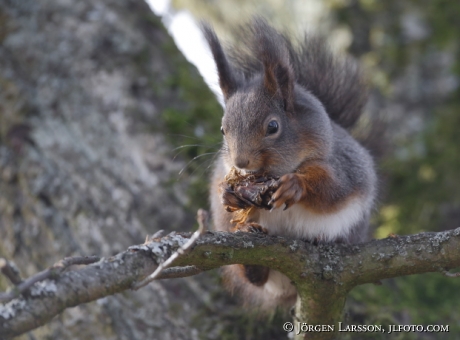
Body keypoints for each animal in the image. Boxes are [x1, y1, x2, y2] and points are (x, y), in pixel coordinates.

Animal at [203, 19, 376, 310]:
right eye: (223, 129)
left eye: (273, 127)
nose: (241, 161)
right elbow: (223, 185)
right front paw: (228, 194)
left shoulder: (342, 165)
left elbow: (332, 189)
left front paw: (295, 185)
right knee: (255, 279)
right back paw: (251, 256)